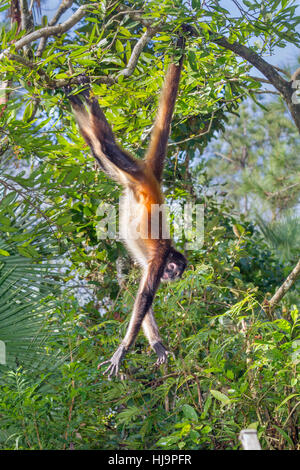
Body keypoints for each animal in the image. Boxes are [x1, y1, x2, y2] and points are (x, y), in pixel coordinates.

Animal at [66, 34, 188, 378]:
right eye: (175, 268)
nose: (175, 277)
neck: (168, 255)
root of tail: (152, 178)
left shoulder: (150, 264)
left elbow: (142, 302)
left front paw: (157, 346)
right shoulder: (159, 259)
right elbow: (145, 296)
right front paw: (122, 350)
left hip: (126, 179)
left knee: (99, 151)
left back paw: (76, 103)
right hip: (133, 171)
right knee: (107, 144)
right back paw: (85, 95)